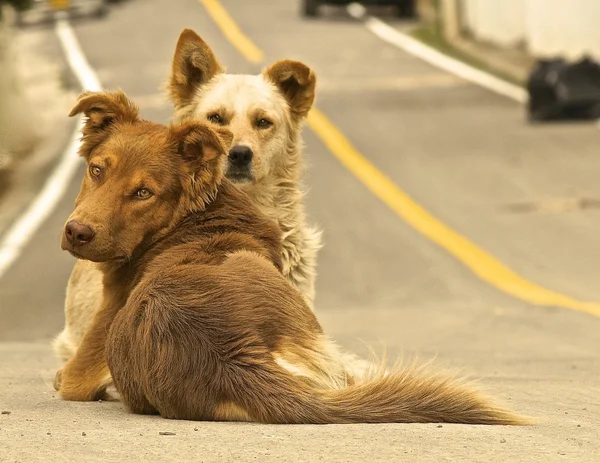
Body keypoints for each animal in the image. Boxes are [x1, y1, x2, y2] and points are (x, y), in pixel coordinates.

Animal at [57, 89, 524, 426]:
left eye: (143, 192)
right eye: (97, 169)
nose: (77, 232)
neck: (191, 217)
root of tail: (231, 357)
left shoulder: (79, 369)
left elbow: (68, 379)